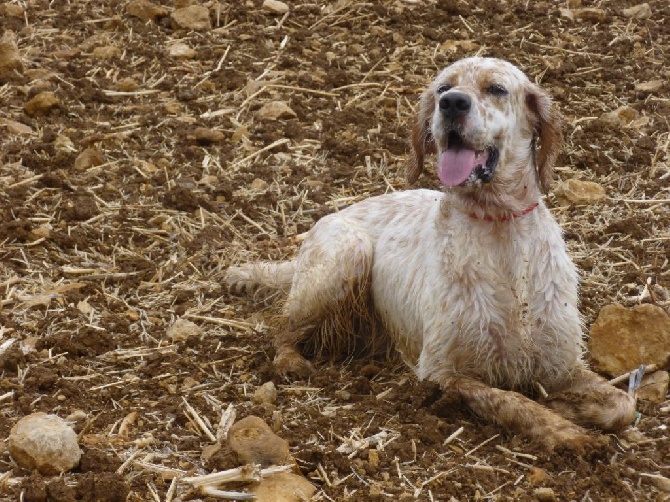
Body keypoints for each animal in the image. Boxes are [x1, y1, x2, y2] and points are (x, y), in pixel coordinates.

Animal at [228, 56, 636, 450]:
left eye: (496, 88)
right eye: (443, 87)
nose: (452, 103)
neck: (499, 228)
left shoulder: (561, 363)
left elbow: (623, 404)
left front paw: (567, 406)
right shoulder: (443, 372)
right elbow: (513, 401)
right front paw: (566, 431)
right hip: (347, 253)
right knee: (281, 331)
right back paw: (290, 361)